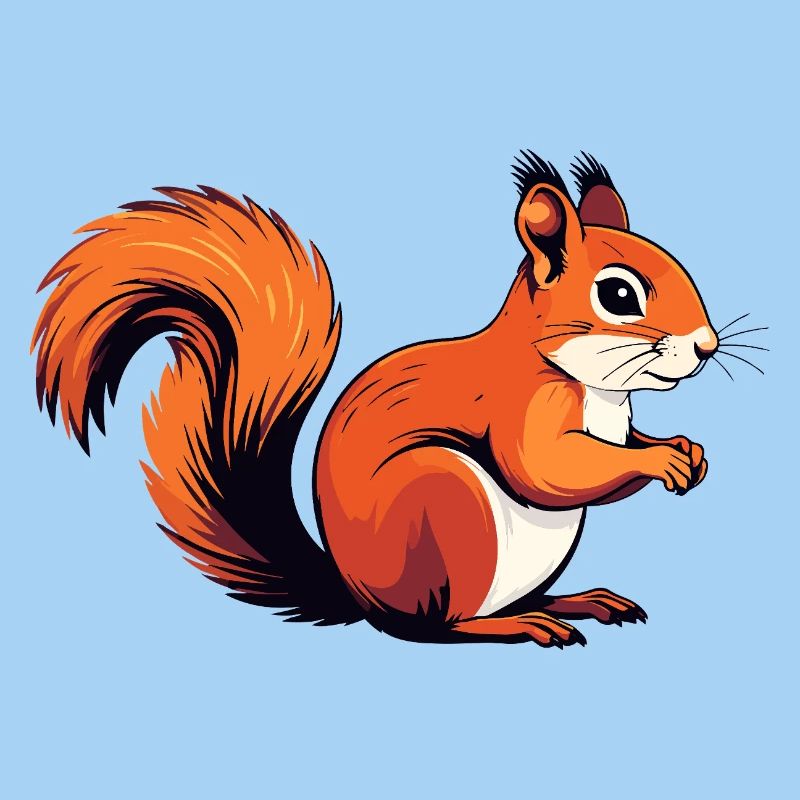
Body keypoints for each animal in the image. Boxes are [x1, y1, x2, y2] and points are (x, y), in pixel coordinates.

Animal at [32, 151, 719, 647]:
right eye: (618, 295)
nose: (707, 346)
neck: (597, 388)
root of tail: (356, 597)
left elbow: (618, 451)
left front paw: (684, 450)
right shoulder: (522, 407)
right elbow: (548, 470)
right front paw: (660, 461)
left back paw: (579, 601)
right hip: (446, 504)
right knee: (435, 628)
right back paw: (518, 624)